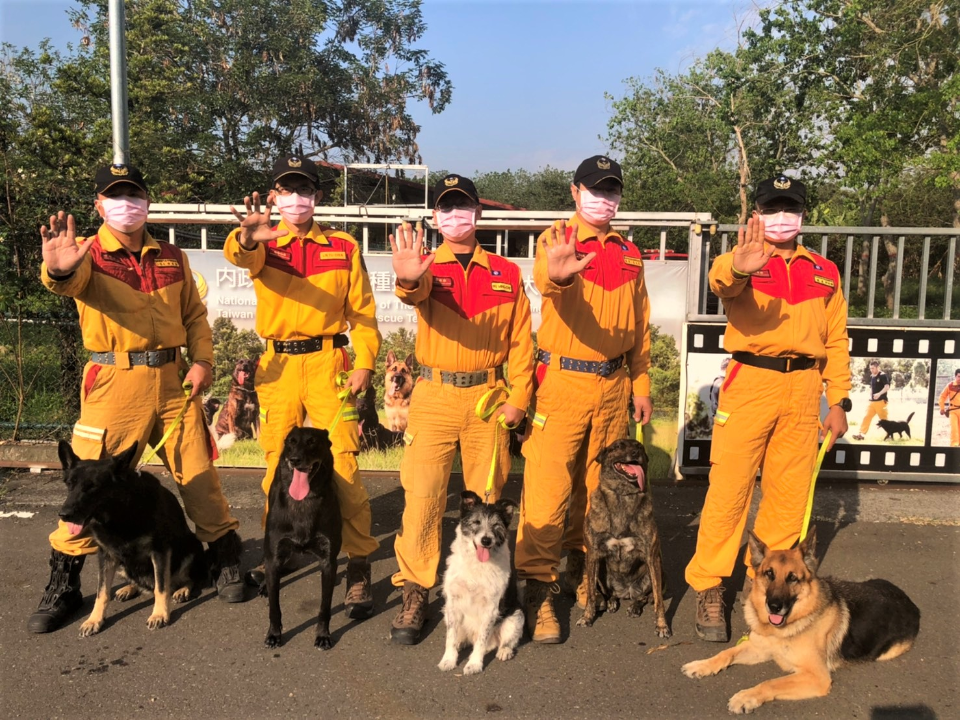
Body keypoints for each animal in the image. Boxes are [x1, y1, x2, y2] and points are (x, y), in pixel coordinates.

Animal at [262, 424, 342, 648]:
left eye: (312, 442)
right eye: (291, 442)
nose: (295, 459)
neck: (303, 501)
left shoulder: (328, 560)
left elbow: (324, 607)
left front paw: (323, 635)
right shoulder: (274, 556)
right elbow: (274, 607)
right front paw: (274, 634)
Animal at [436, 490, 520, 676]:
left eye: (496, 525)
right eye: (476, 522)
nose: (486, 540)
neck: (477, 564)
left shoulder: (491, 608)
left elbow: (481, 640)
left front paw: (474, 664)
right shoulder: (452, 603)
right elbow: (450, 638)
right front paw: (448, 660)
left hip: (516, 617)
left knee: (504, 640)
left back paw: (504, 651)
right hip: (446, 613)